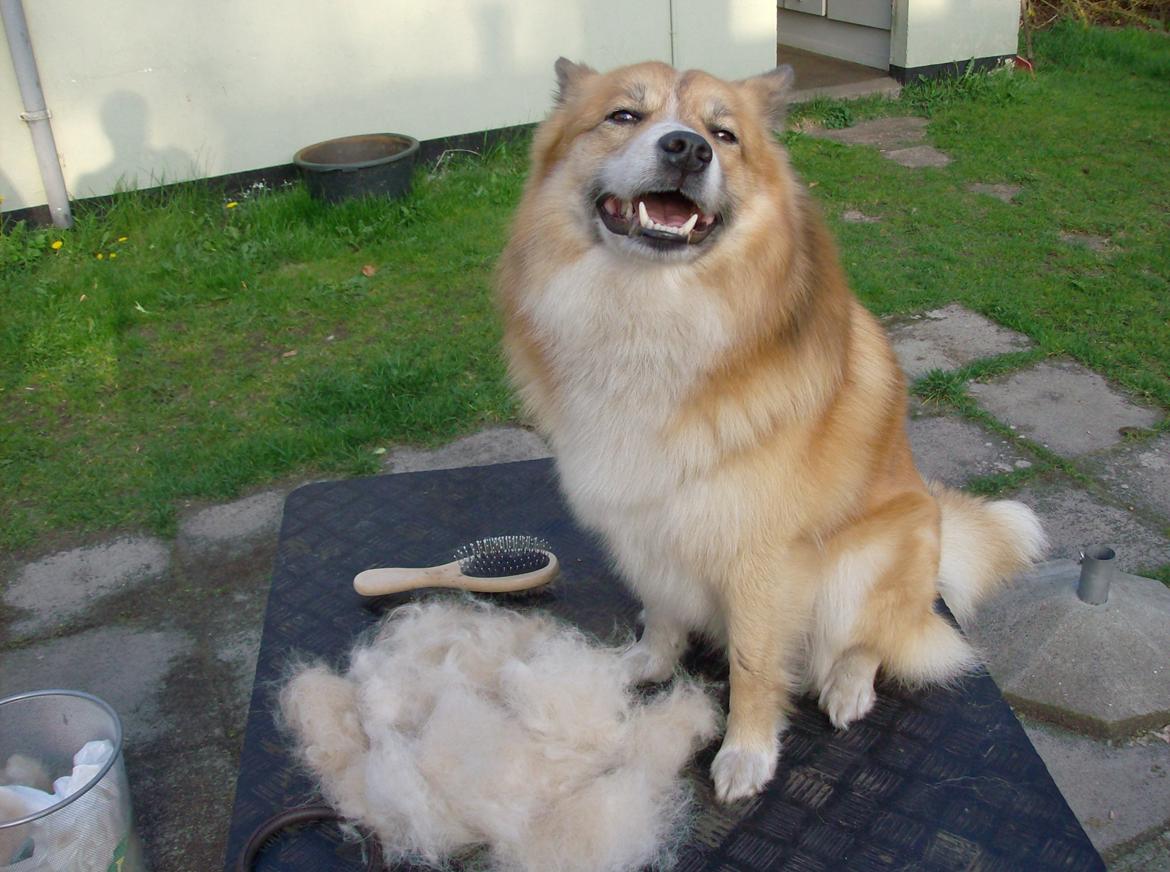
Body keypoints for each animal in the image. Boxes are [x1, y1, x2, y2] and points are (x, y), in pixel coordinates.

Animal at [493, 57, 1043, 800]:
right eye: (624, 116)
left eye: (723, 135)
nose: (686, 149)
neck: (653, 320)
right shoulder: (645, 524)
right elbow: (663, 609)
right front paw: (644, 662)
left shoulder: (761, 558)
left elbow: (755, 666)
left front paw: (747, 753)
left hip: (873, 557)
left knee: (878, 642)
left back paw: (847, 687)